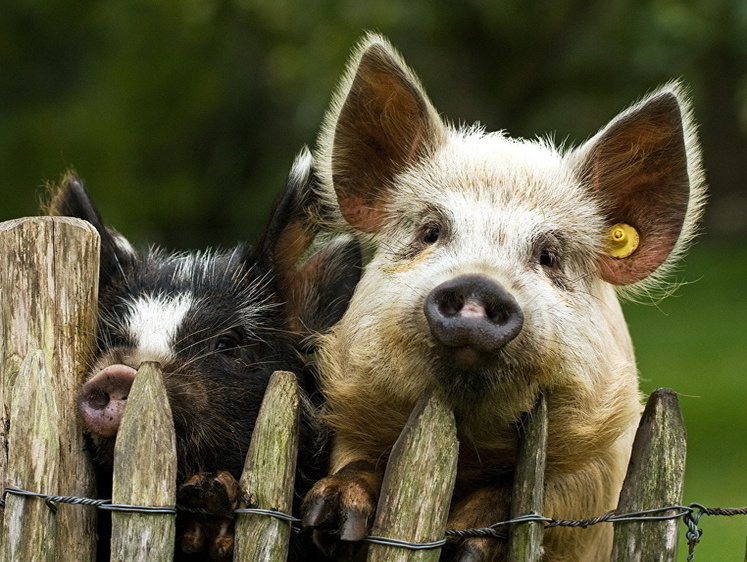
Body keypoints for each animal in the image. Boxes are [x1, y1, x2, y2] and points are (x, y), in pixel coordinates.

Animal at [300, 36, 708, 560]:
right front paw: (330, 520)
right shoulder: (351, 418)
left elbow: (534, 498)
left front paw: (466, 544)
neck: (469, 448)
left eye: (549, 256)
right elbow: (358, 463)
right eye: (430, 232)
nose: (480, 285)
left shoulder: (600, 463)